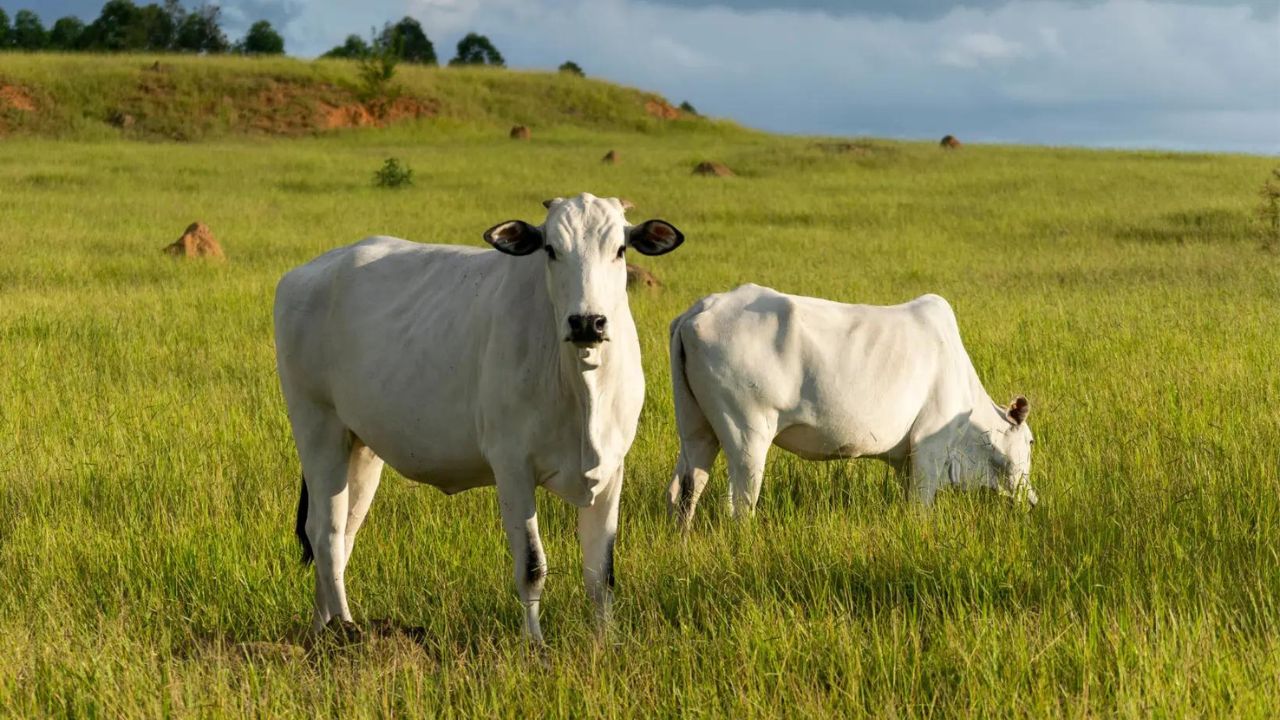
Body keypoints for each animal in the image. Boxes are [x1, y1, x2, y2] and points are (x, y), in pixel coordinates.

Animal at [275, 192, 686, 638]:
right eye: (551, 249)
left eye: (620, 249)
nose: (586, 322)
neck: (582, 385)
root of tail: (307, 272)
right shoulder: (512, 467)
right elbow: (532, 567)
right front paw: (534, 643)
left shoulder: (611, 469)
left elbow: (601, 573)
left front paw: (604, 641)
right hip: (317, 427)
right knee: (326, 534)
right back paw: (347, 631)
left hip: (361, 446)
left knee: (341, 533)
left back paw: (323, 631)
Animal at [665, 281, 1034, 527]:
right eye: (1030, 441)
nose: (1032, 501)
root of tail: (699, 311)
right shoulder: (930, 446)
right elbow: (920, 505)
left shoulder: (906, 460)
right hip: (747, 433)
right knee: (740, 504)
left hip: (697, 428)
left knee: (684, 489)